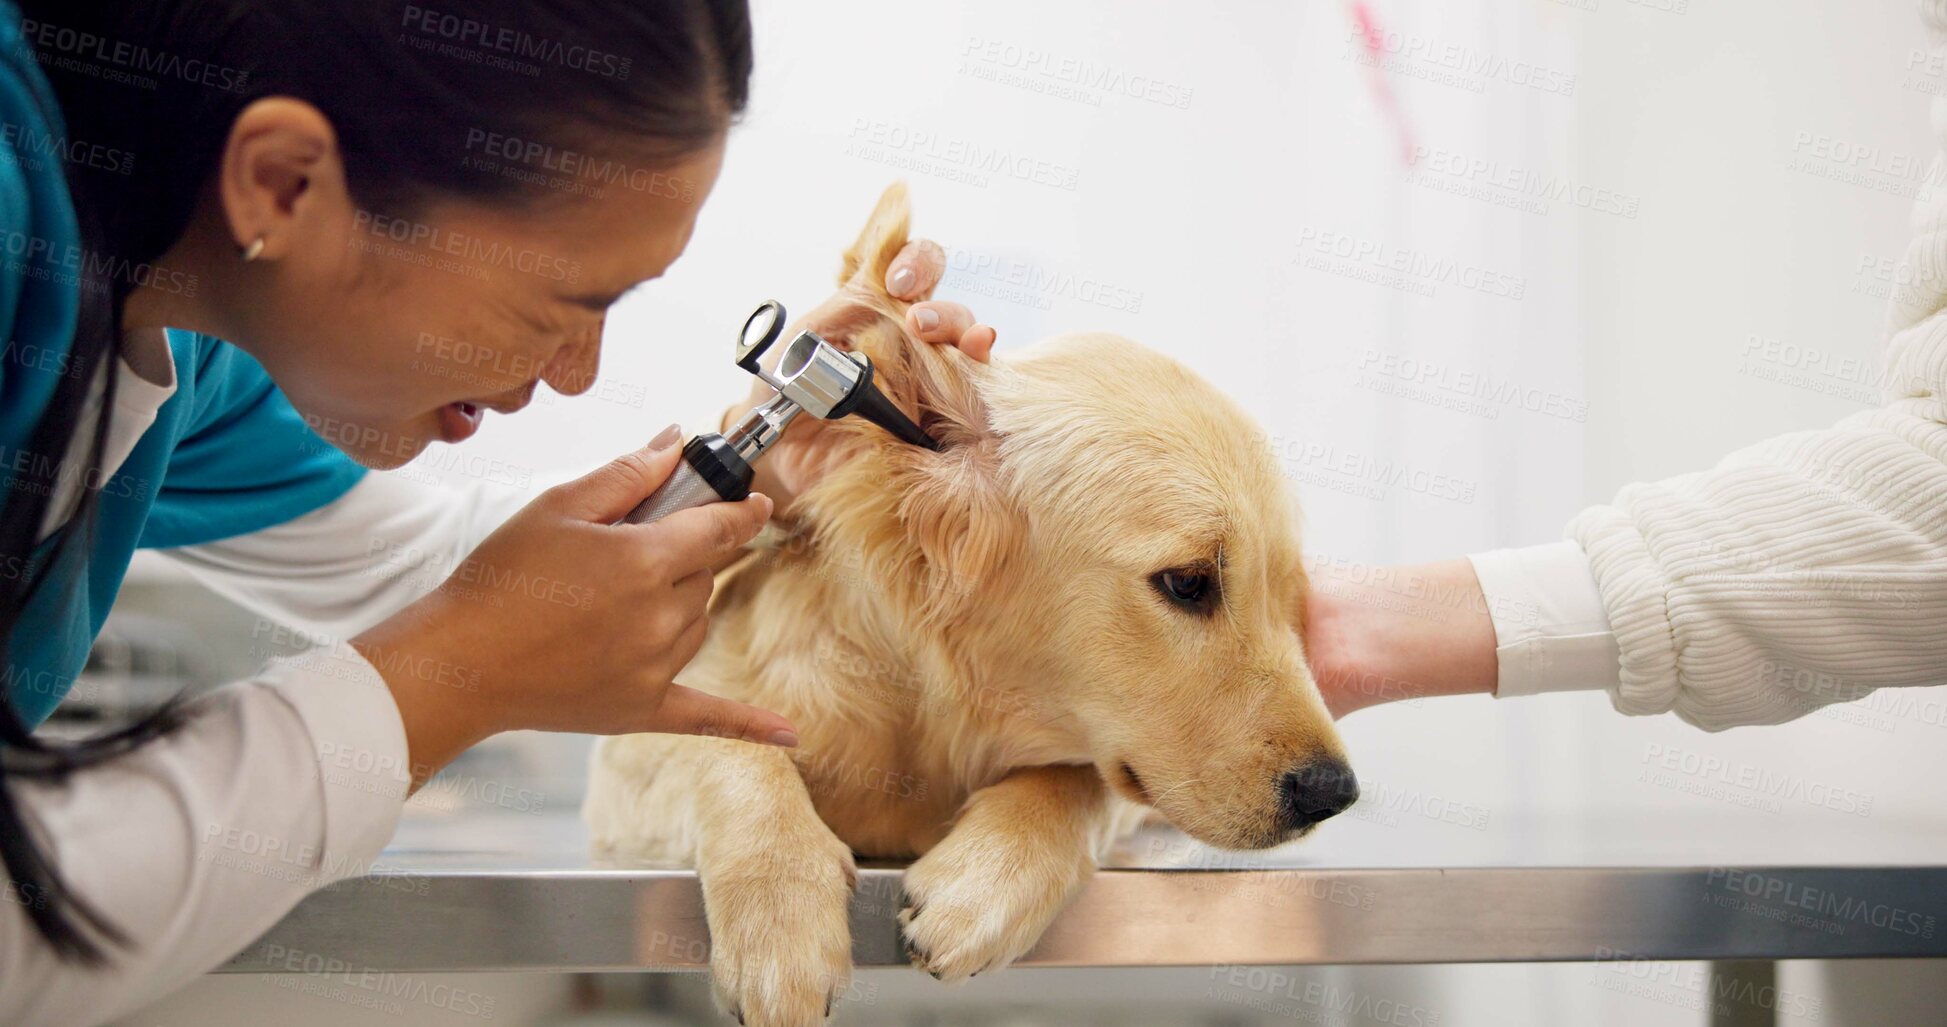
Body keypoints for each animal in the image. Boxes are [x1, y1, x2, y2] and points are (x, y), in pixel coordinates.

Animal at [584, 187, 1362, 1027]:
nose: (1333, 793)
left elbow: (1083, 777)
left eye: (1293, 602)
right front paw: (780, 919)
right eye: (1188, 582)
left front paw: (987, 881)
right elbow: (725, 749)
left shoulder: (1107, 775)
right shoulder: (623, 760)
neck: (925, 713)